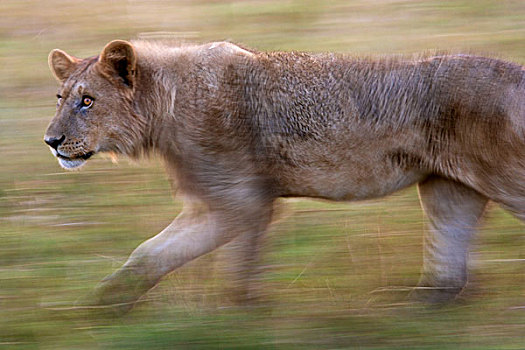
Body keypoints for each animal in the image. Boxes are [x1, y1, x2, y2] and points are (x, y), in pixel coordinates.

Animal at [45, 39, 524, 314]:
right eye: (61, 97)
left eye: (88, 101)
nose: (51, 141)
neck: (164, 106)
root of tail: (515, 73)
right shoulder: (232, 202)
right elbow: (152, 253)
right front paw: (104, 304)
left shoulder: (237, 203)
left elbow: (174, 254)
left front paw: (235, 313)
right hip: (448, 189)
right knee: (449, 264)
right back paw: (416, 305)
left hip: (503, 179)